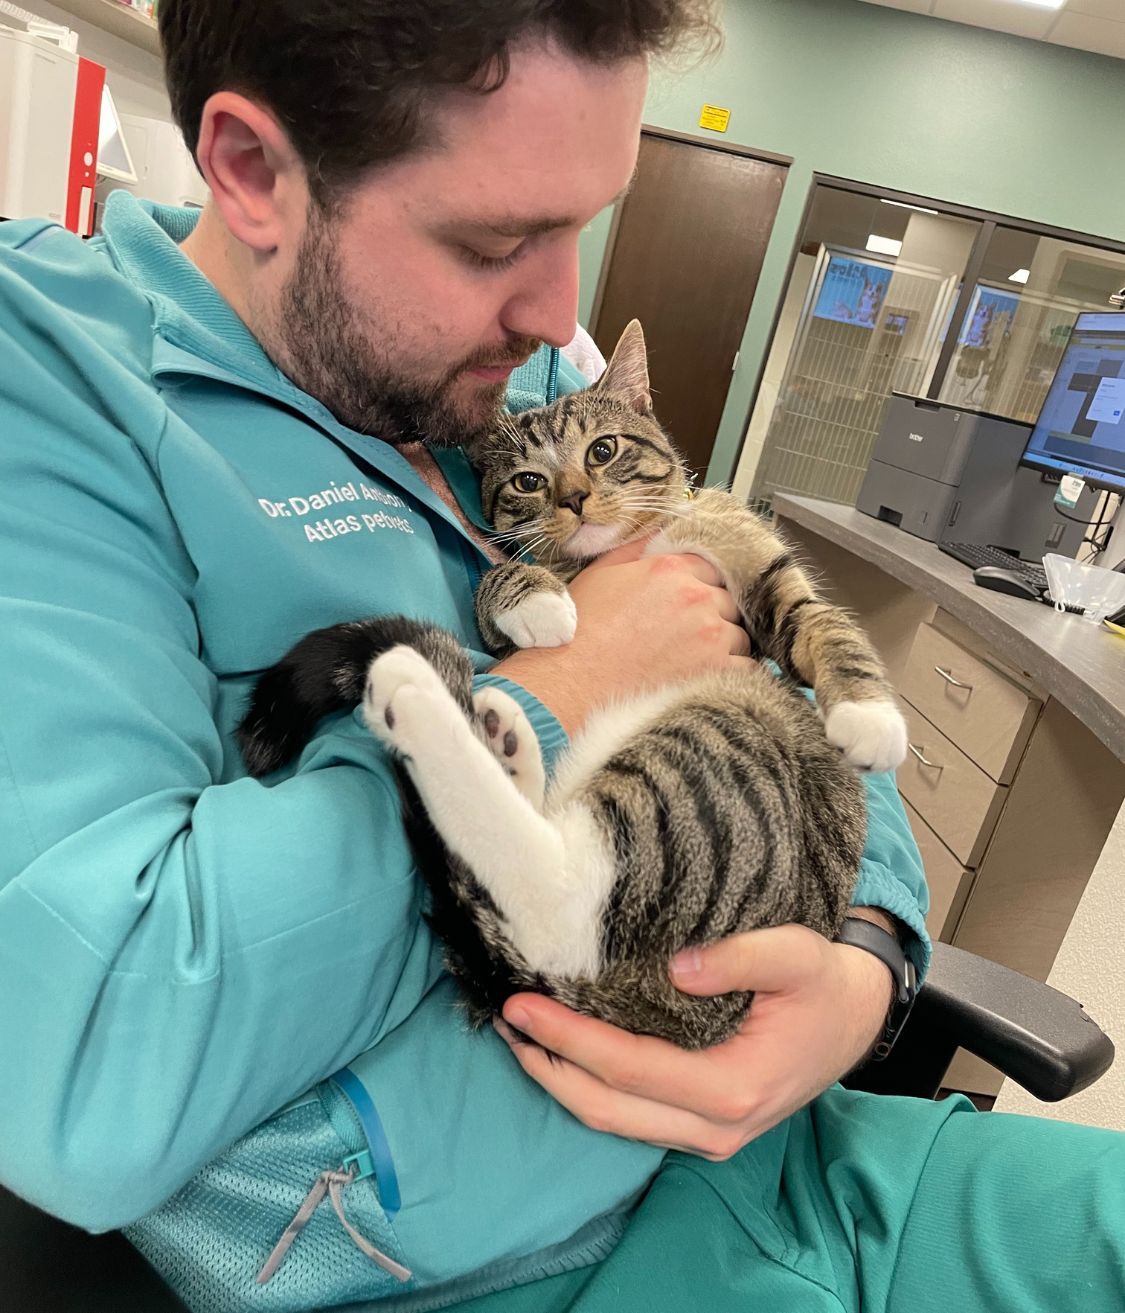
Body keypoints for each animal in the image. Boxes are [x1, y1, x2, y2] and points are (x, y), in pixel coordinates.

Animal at [238, 322, 903, 1050]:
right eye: (528, 481)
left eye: (603, 449)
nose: (574, 498)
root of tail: (683, 1018)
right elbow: (496, 581)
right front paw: (536, 599)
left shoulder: (746, 550)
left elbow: (816, 621)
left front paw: (869, 714)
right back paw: (487, 728)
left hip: (725, 750)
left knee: (555, 900)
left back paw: (422, 696)